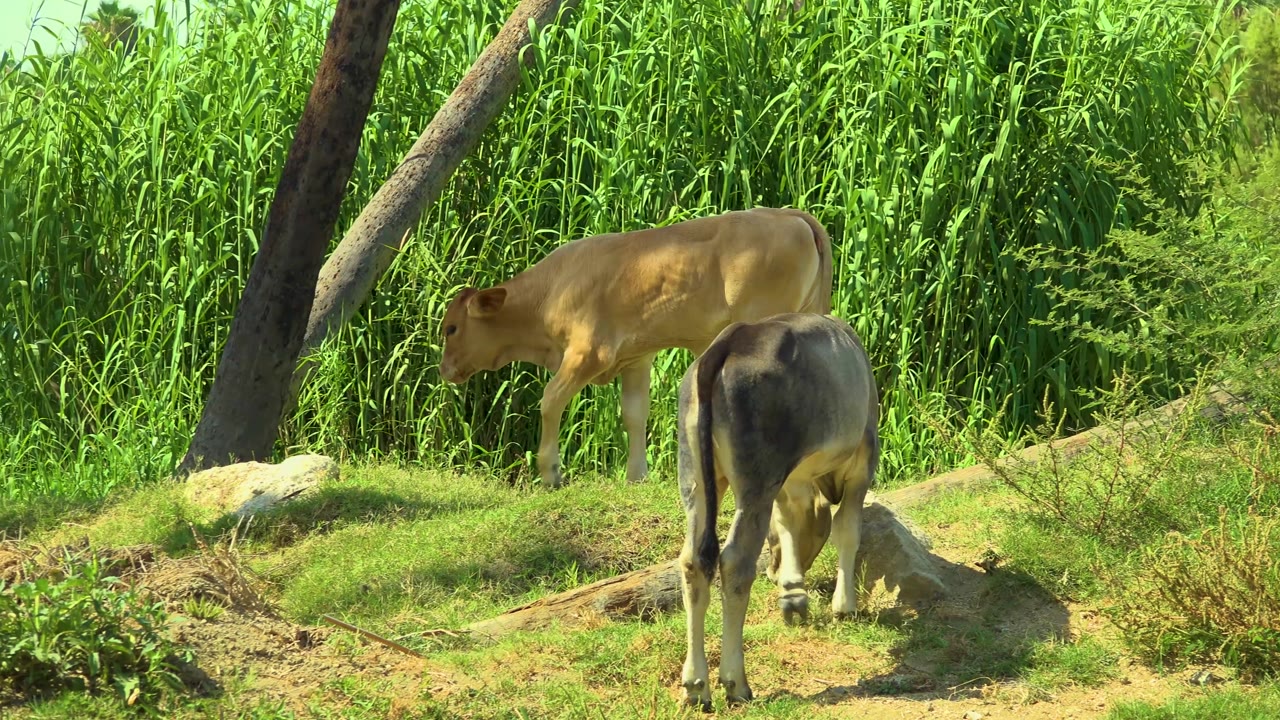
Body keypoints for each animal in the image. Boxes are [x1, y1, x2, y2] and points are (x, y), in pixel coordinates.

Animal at [437, 208, 833, 489]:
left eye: (451, 328)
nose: (444, 370)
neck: (550, 291)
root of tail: (786, 215)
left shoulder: (588, 352)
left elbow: (550, 400)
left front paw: (550, 472)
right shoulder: (636, 357)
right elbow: (634, 413)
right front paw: (636, 475)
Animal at [674, 312, 880, 710]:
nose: (773, 570)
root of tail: (730, 339)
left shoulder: (789, 480)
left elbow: (785, 523)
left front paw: (792, 590)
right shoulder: (863, 458)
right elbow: (847, 529)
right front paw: (844, 606)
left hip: (695, 476)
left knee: (693, 561)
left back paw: (696, 685)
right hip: (756, 482)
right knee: (735, 561)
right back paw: (735, 683)